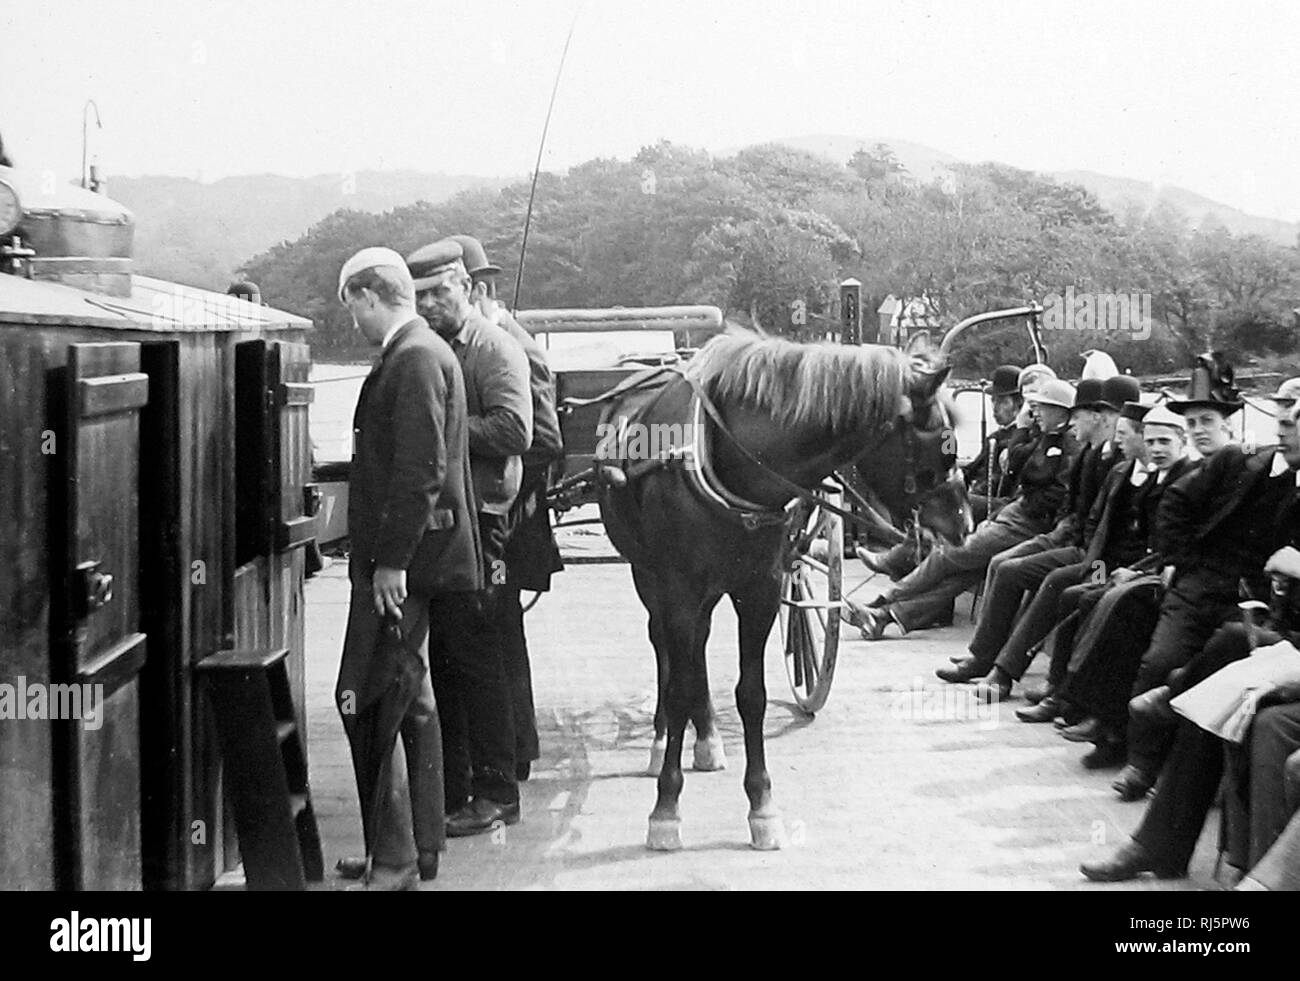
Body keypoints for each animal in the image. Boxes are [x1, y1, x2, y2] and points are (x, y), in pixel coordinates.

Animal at [595, 330, 956, 852]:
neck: (733, 458)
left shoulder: (759, 590)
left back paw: (707, 736)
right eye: (944, 447)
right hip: (648, 574)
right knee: (665, 647)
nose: (963, 525)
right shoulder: (679, 587)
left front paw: (762, 805)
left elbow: (752, 695)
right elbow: (679, 685)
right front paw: (666, 807)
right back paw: (665, 739)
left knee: (695, 648)